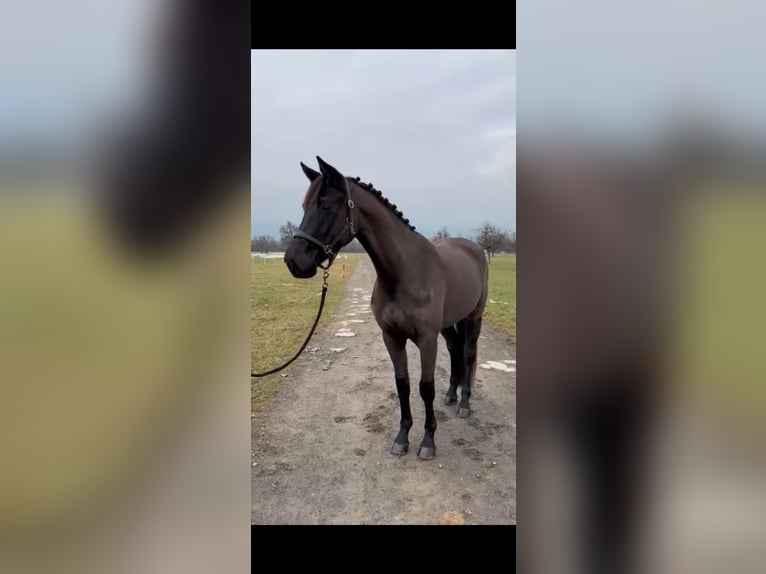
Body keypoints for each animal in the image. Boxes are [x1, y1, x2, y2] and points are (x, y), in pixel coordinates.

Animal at [284, 156, 490, 461]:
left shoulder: (426, 340)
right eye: (304, 206)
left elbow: (425, 387)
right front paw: (402, 437)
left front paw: (428, 442)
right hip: (447, 324)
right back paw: (452, 395)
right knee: (454, 348)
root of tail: (474, 249)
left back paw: (464, 403)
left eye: (325, 205)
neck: (403, 273)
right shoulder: (392, 338)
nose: (293, 261)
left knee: (467, 353)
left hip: (474, 317)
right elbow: (402, 384)